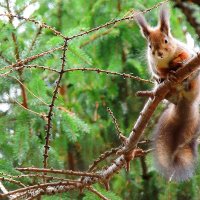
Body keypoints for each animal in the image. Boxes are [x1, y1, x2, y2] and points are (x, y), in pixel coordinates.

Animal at [135, 4, 199, 180]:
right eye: (149, 46)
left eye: (166, 40)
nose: (159, 53)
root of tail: (186, 100)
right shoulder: (155, 66)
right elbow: (160, 73)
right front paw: (166, 76)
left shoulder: (184, 50)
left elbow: (185, 55)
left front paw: (178, 62)